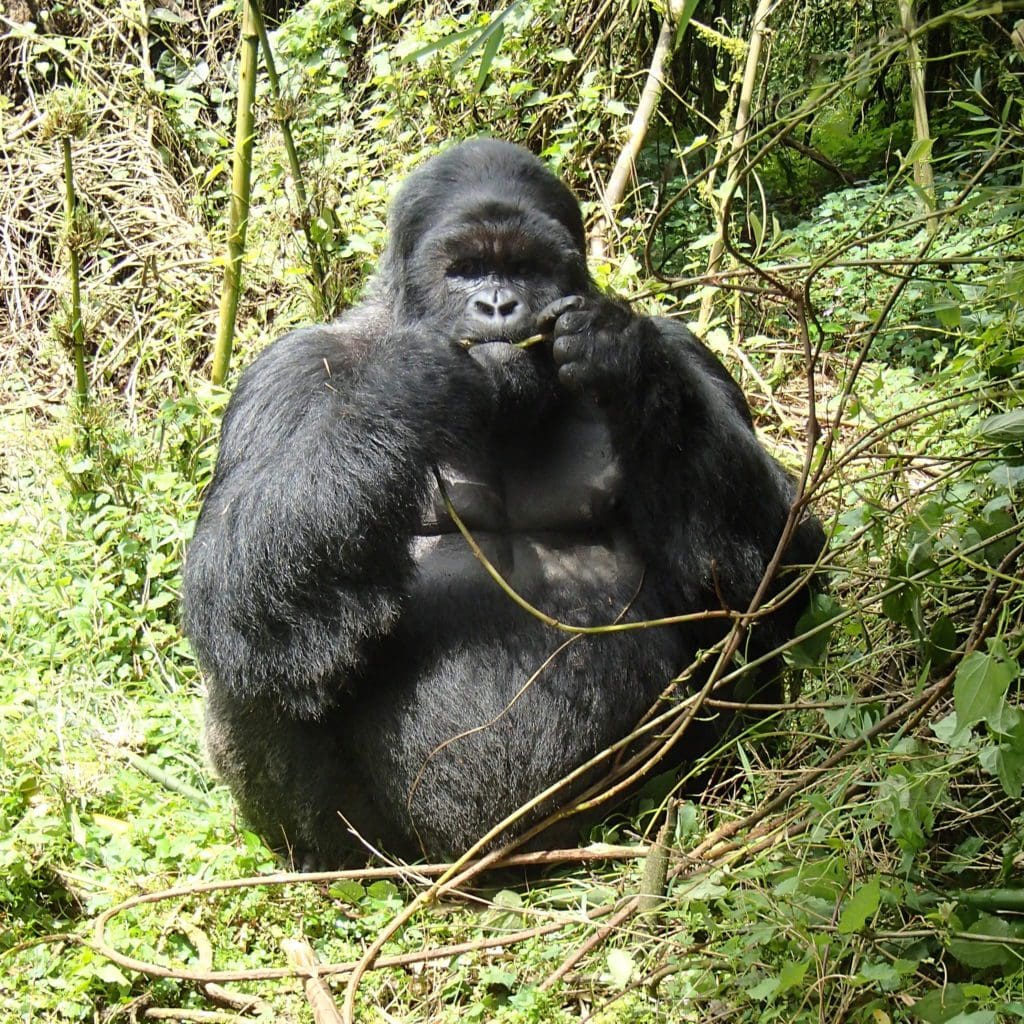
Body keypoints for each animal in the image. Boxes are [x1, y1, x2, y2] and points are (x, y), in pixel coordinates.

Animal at [182, 138, 823, 864]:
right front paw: (410, 384)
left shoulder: (689, 349)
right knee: (260, 654)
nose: (497, 306)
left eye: (525, 267)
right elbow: (227, 584)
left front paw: (626, 360)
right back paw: (331, 865)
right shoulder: (286, 371)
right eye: (465, 270)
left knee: (742, 606)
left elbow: (779, 559)